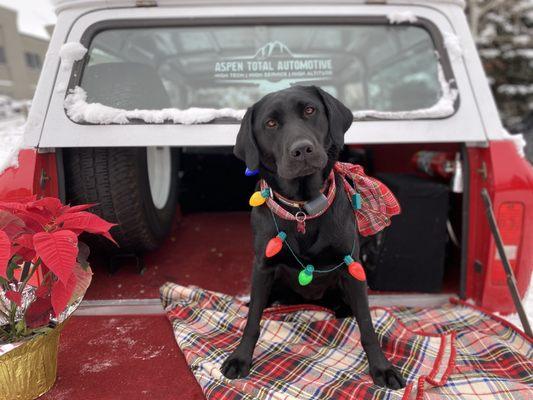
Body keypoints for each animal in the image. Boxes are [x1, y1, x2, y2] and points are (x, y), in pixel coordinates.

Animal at [222, 86, 406, 390]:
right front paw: (240, 358)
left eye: (310, 110)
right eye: (270, 123)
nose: (302, 150)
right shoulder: (263, 267)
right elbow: (252, 322)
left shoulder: (352, 266)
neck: (302, 209)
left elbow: (367, 326)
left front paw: (382, 367)